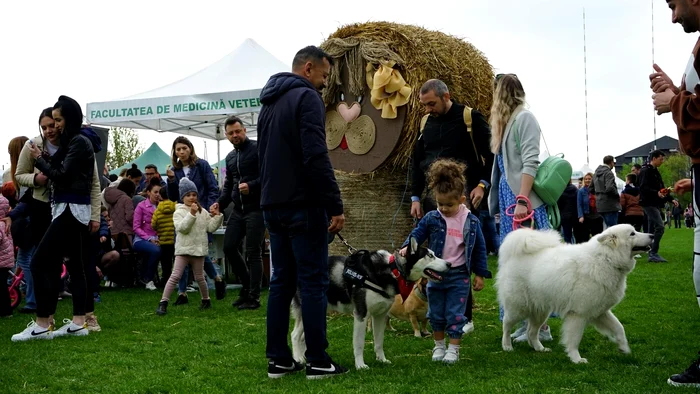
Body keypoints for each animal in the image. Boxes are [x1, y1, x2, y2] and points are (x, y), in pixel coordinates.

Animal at [288, 237, 448, 370]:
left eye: (434, 254)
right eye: (430, 255)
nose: (449, 263)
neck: (392, 270)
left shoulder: (380, 316)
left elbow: (379, 342)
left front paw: (382, 360)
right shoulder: (361, 314)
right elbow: (359, 344)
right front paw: (360, 365)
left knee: (303, 337)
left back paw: (307, 359)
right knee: (295, 335)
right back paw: (299, 359)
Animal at [494, 225, 652, 364]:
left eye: (635, 231)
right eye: (632, 234)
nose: (652, 235)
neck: (606, 259)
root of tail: (512, 257)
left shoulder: (600, 311)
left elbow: (619, 328)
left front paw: (624, 348)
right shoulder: (578, 315)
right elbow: (574, 340)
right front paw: (576, 359)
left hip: (540, 311)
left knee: (531, 332)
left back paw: (540, 348)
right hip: (518, 309)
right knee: (506, 325)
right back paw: (507, 346)